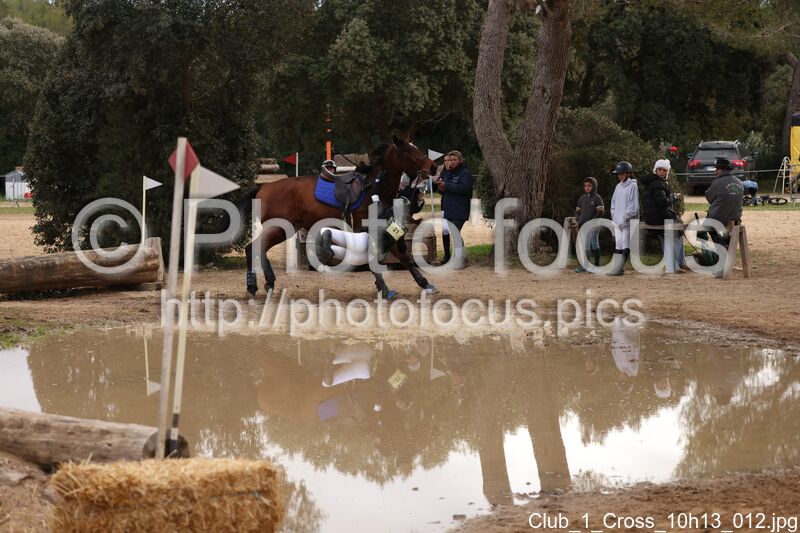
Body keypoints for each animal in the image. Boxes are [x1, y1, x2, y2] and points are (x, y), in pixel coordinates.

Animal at [237, 136, 439, 298]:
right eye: (408, 151)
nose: (434, 166)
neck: (374, 187)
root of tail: (264, 187)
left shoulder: (386, 229)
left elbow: (404, 256)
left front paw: (424, 283)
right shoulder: (366, 229)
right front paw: (383, 286)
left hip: (283, 229)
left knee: (254, 248)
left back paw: (260, 284)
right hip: (279, 227)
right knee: (255, 248)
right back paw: (259, 284)